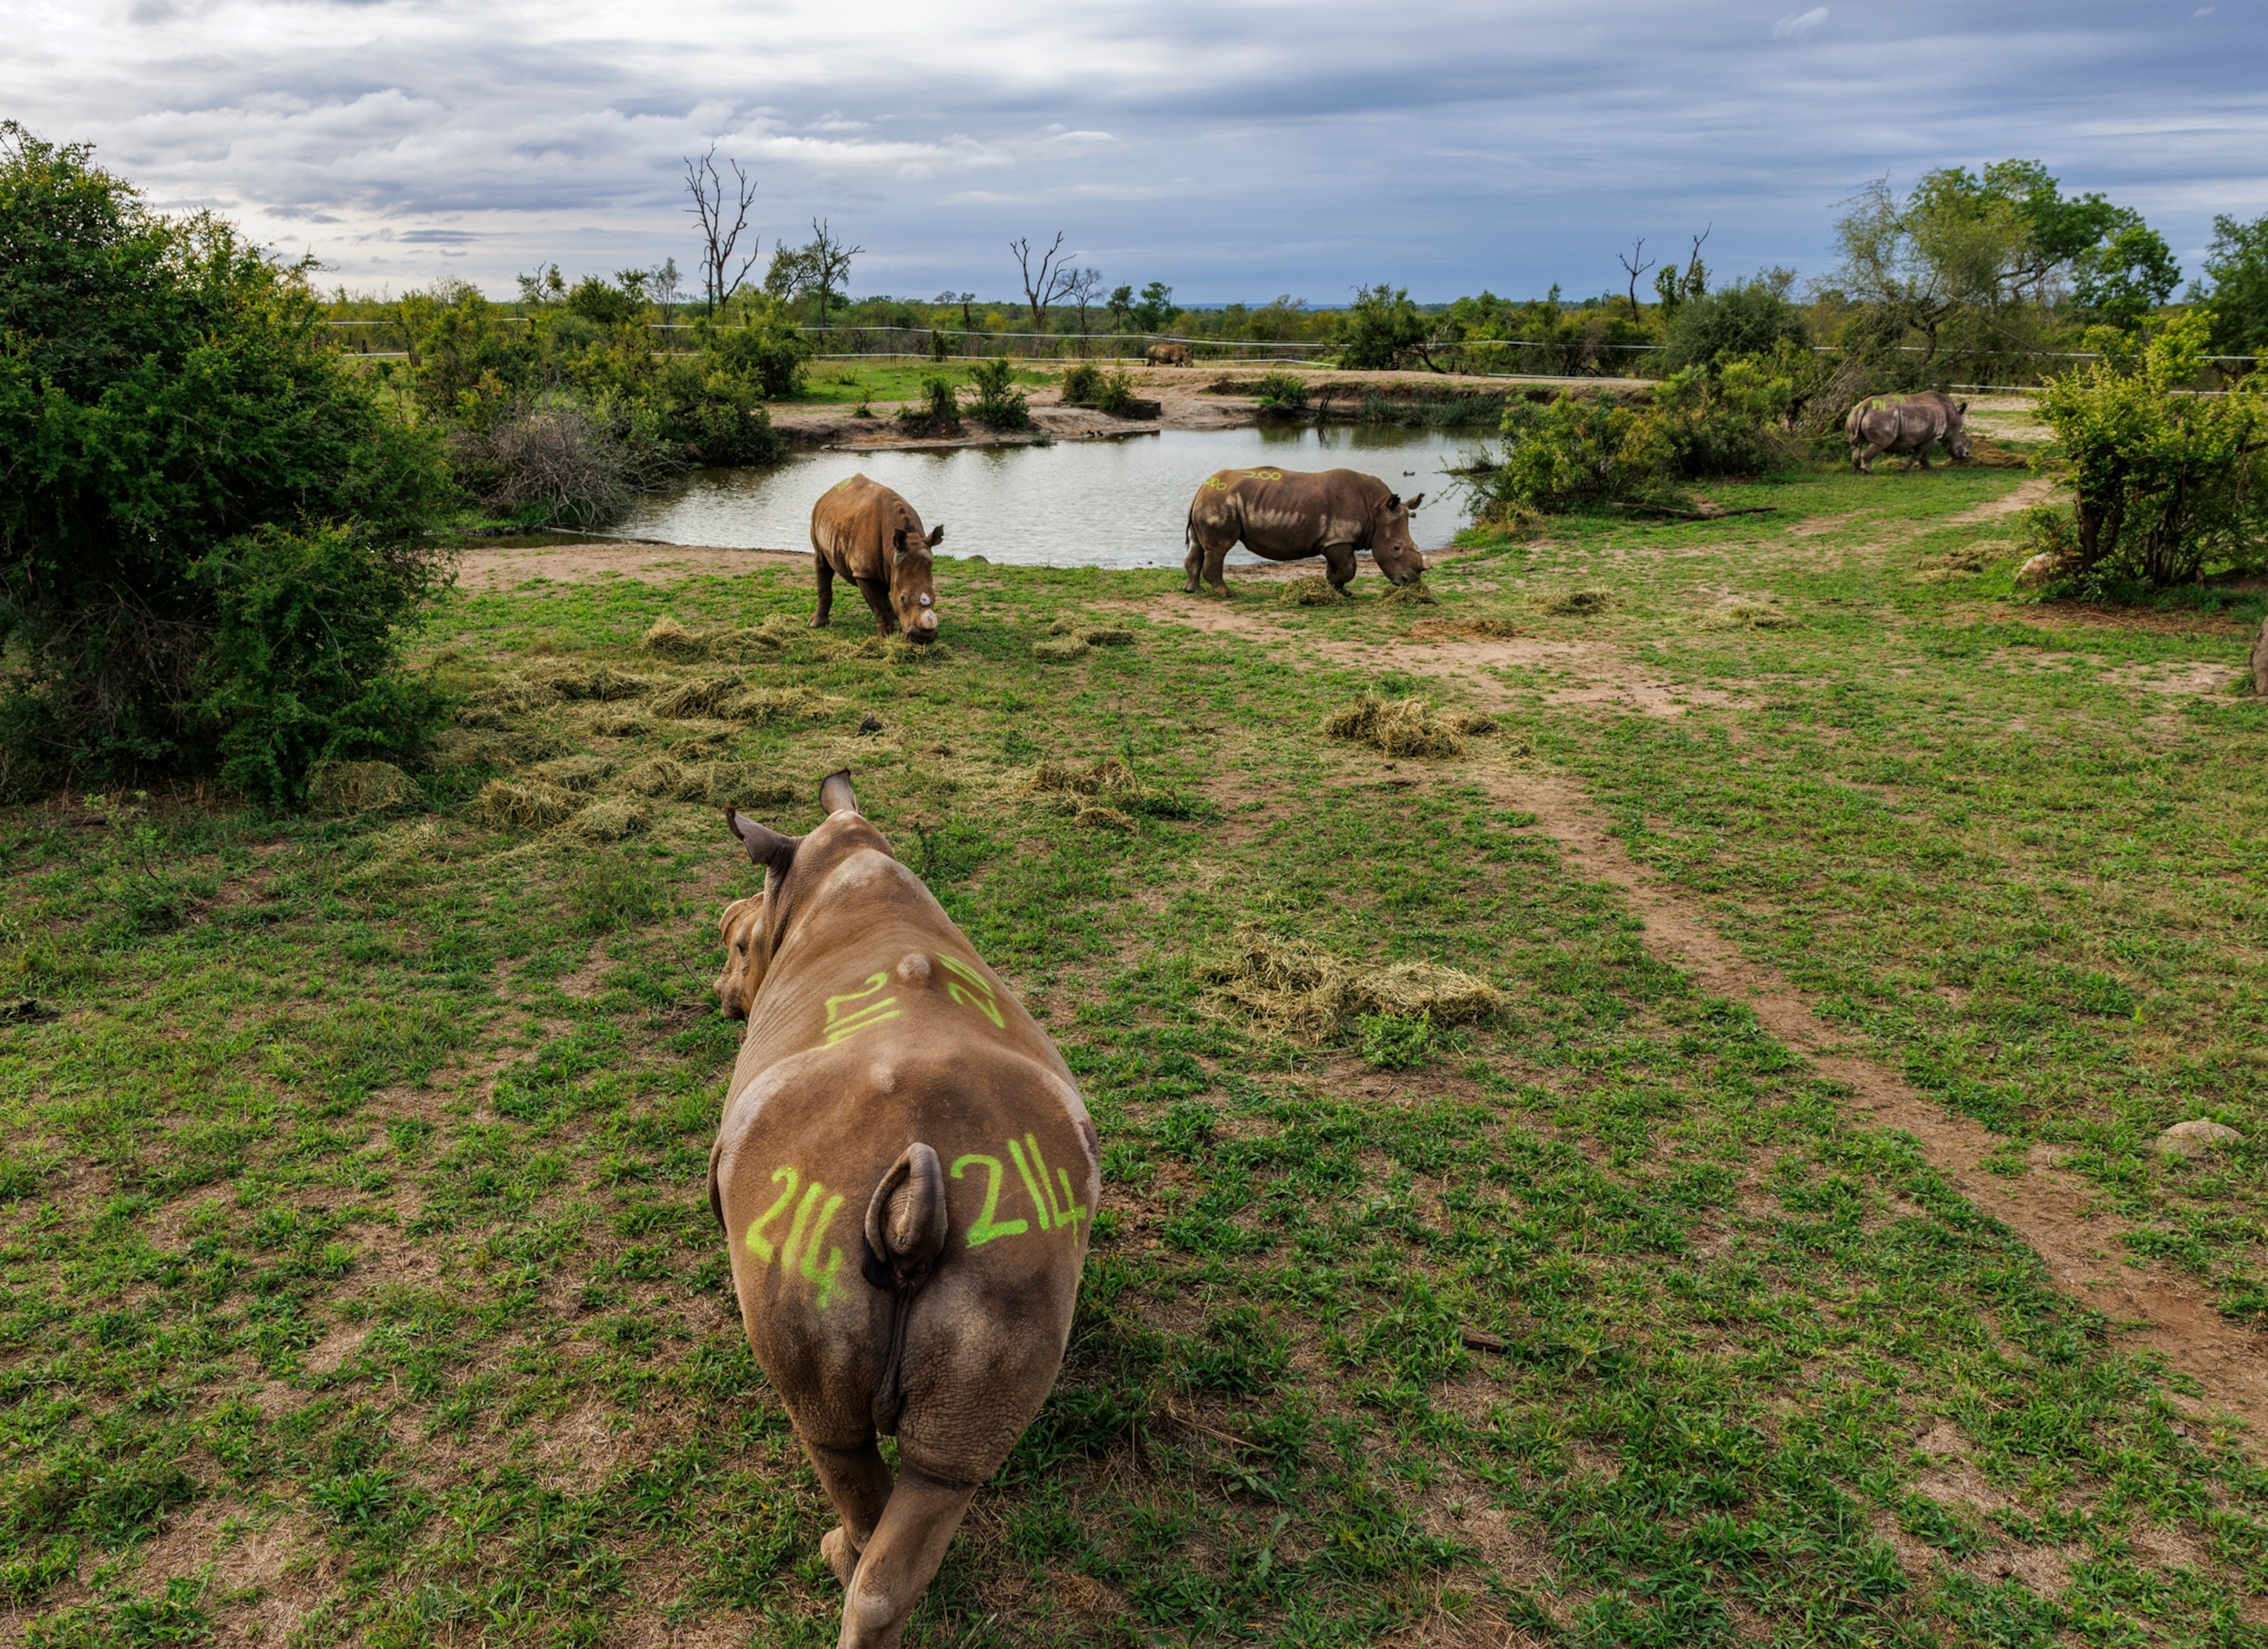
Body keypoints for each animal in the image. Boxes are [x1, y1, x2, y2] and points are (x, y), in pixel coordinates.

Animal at [711, 771, 1097, 1649]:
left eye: (738, 944)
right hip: (1010, 1270)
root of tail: (915, 1215)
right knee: (940, 1472)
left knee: (828, 1433)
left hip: (800, 1239)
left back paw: (837, 1553)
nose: (721, 995)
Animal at [811, 475, 942, 641]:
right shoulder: (865, 575)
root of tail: (829, 492)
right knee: (822, 562)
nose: (923, 637)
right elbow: (880, 608)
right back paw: (815, 625)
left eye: (935, 596)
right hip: (815, 517)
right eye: (903, 599)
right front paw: (884, 638)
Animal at [1184, 467, 1427, 597]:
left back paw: (1192, 590)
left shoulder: (1334, 540)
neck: (1377, 511)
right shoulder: (1338, 539)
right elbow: (1349, 568)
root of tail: (1203, 486)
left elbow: (1339, 567)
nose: (1410, 581)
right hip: (1220, 500)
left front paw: (1339, 590)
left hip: (1212, 500)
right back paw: (1227, 594)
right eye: (1396, 548)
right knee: (1219, 549)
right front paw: (1329, 586)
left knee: (1199, 546)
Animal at [1847, 391, 1971, 473]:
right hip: (1883, 417)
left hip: (1853, 415)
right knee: (1880, 443)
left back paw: (1857, 471)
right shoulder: (1933, 437)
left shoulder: (1920, 436)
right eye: (1964, 437)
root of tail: (1864, 407)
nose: (1966, 455)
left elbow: (1922, 454)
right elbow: (1919, 454)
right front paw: (1904, 470)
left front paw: (1928, 468)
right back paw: (1867, 472)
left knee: (1855, 445)